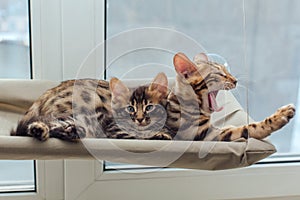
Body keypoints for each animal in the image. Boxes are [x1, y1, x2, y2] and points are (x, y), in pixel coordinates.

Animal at [165, 52, 296, 141]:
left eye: (227, 71)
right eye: (219, 74)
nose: (235, 80)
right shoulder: (209, 135)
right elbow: (249, 128)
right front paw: (279, 116)